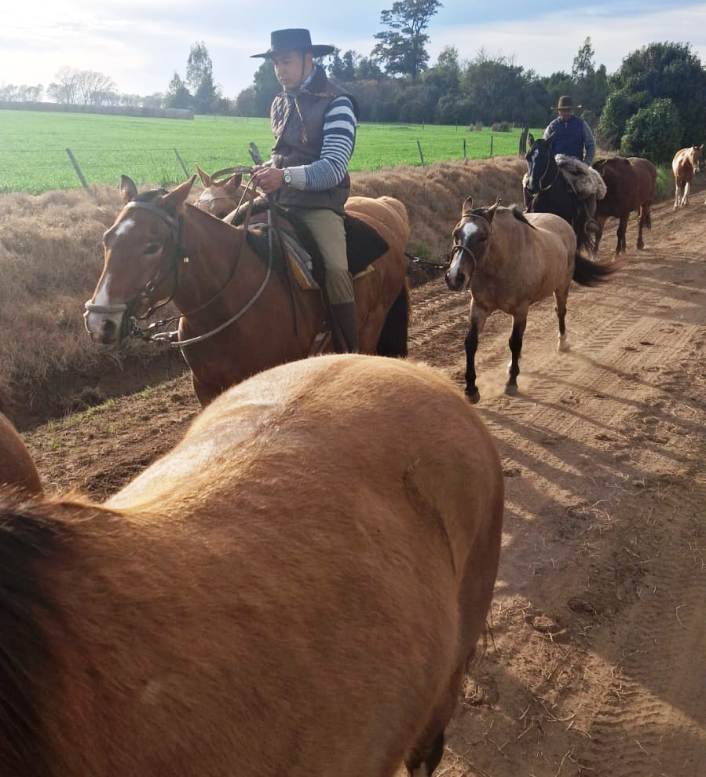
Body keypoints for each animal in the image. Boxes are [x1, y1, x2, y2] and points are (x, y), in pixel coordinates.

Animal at [85, 177, 410, 406]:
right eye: (107, 239)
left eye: (152, 246)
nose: (100, 321)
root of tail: (387, 211)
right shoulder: (205, 387)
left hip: (372, 324)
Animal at [448, 197, 612, 404]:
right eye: (456, 233)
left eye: (483, 237)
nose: (455, 277)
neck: (499, 266)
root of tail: (562, 222)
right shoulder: (479, 307)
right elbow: (471, 343)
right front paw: (471, 390)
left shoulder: (520, 309)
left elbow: (515, 342)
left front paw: (511, 382)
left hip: (562, 286)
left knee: (560, 312)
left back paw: (562, 343)